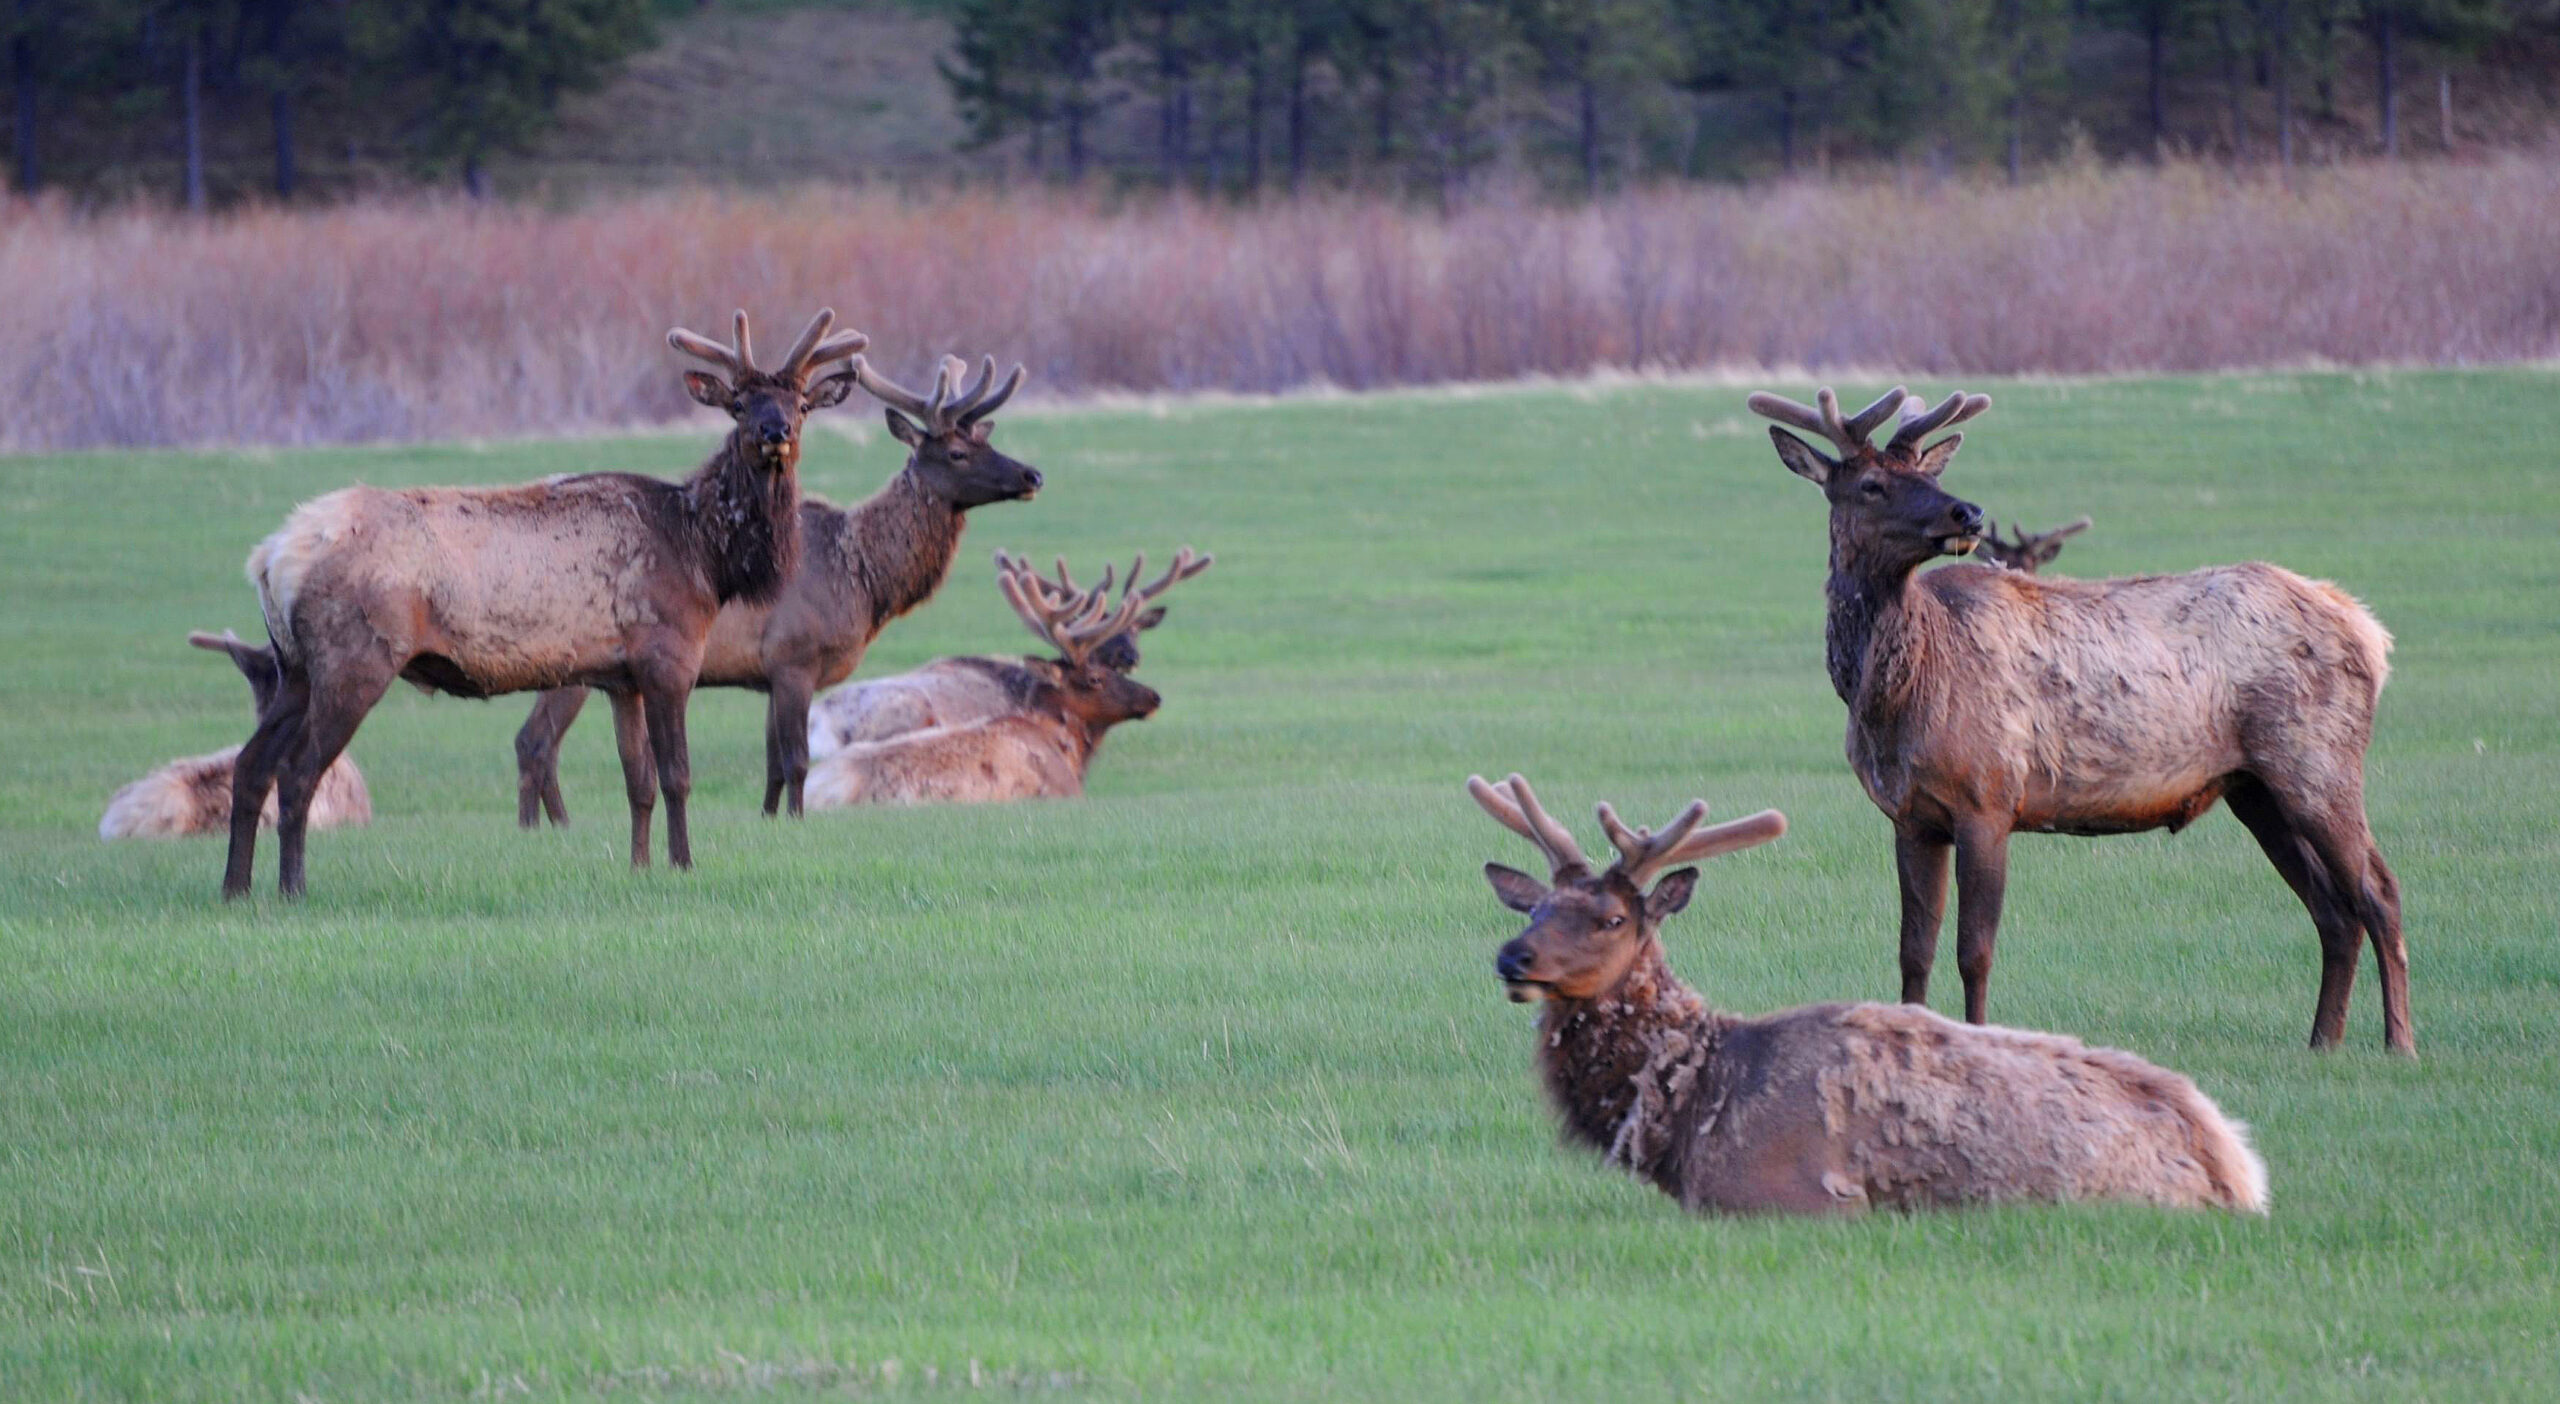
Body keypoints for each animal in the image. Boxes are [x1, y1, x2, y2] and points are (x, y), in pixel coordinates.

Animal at [222, 308, 864, 898]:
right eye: (739, 403)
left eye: (801, 402)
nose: (775, 432)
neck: (705, 558)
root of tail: (270, 559)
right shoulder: (668, 656)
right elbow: (677, 776)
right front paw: (682, 864)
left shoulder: (620, 678)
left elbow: (638, 781)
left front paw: (639, 866)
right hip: (355, 658)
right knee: (297, 771)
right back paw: (292, 888)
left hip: (295, 667)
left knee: (250, 765)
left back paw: (236, 888)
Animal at [510, 353, 1043, 827]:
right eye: (958, 453)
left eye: (984, 439)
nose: (1032, 474)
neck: (864, 579)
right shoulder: (795, 656)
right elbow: (796, 761)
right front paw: (796, 820)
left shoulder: (769, 670)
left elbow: (772, 766)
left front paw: (769, 820)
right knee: (535, 741)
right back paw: (546, 829)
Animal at [1470, 772, 2269, 1216]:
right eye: (1535, 907)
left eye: (1611, 918)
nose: (1513, 957)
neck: (1692, 1102)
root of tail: (2236, 1166)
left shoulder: (1789, 1195)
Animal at [1747, 385, 2409, 1052]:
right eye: (1871, 484)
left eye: (1928, 474)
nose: (1968, 513)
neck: (1897, 695)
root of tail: (2370, 631)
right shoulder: (1911, 816)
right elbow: (1914, 950)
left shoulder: (1989, 797)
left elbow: (1974, 950)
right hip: (2255, 787)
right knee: (2333, 909)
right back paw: (2322, 1042)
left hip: (2317, 760)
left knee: (2378, 891)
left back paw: (2397, 1043)